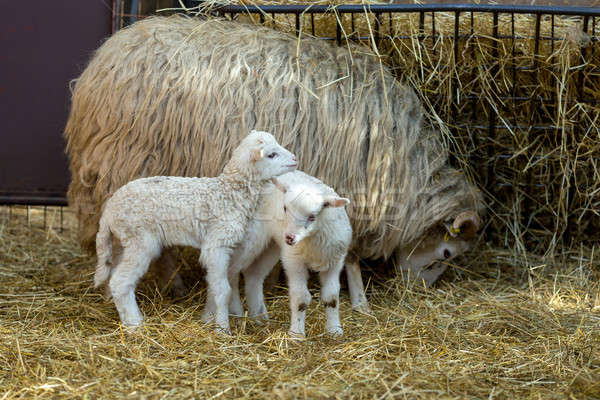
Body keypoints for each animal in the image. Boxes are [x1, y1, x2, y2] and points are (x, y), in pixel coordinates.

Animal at [65, 15, 486, 292]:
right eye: (447, 253)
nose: (419, 291)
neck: (403, 167)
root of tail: (106, 56)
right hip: (130, 168)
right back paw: (174, 284)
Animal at [94, 130, 298, 332]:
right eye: (271, 154)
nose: (295, 159)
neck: (230, 193)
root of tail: (108, 212)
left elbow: (216, 286)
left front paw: (209, 320)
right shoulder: (217, 245)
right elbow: (224, 290)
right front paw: (223, 329)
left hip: (125, 241)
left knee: (114, 274)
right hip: (140, 240)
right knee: (120, 281)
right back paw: (135, 324)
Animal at [202, 172, 352, 338]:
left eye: (312, 216)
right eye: (285, 208)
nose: (289, 238)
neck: (312, 241)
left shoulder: (334, 261)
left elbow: (331, 297)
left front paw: (334, 330)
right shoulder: (294, 260)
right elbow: (300, 298)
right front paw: (296, 334)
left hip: (271, 246)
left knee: (253, 276)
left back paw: (259, 317)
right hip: (244, 239)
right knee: (225, 274)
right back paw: (216, 318)